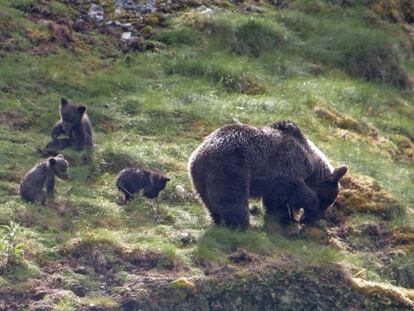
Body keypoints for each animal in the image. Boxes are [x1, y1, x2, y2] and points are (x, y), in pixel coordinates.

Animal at [189, 120, 348, 230]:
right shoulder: (287, 165)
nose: (309, 219)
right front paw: (307, 207)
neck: (311, 162)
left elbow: (275, 200)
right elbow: (293, 188)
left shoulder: (273, 180)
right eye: (327, 200)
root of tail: (202, 154)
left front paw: (282, 217)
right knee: (233, 198)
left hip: (199, 177)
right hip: (231, 167)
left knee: (210, 201)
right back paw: (239, 224)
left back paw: (218, 219)